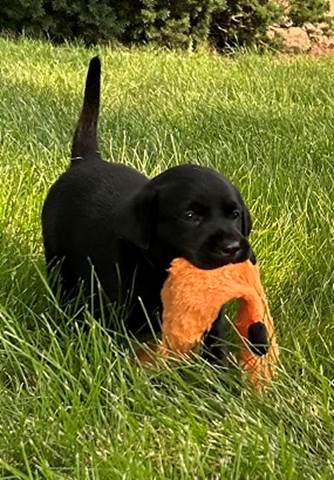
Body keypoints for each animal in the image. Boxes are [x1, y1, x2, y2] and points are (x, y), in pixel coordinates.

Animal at [41, 57, 260, 352]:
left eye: (235, 214)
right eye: (190, 215)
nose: (232, 247)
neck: (160, 269)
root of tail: (85, 160)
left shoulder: (212, 324)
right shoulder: (122, 317)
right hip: (57, 256)